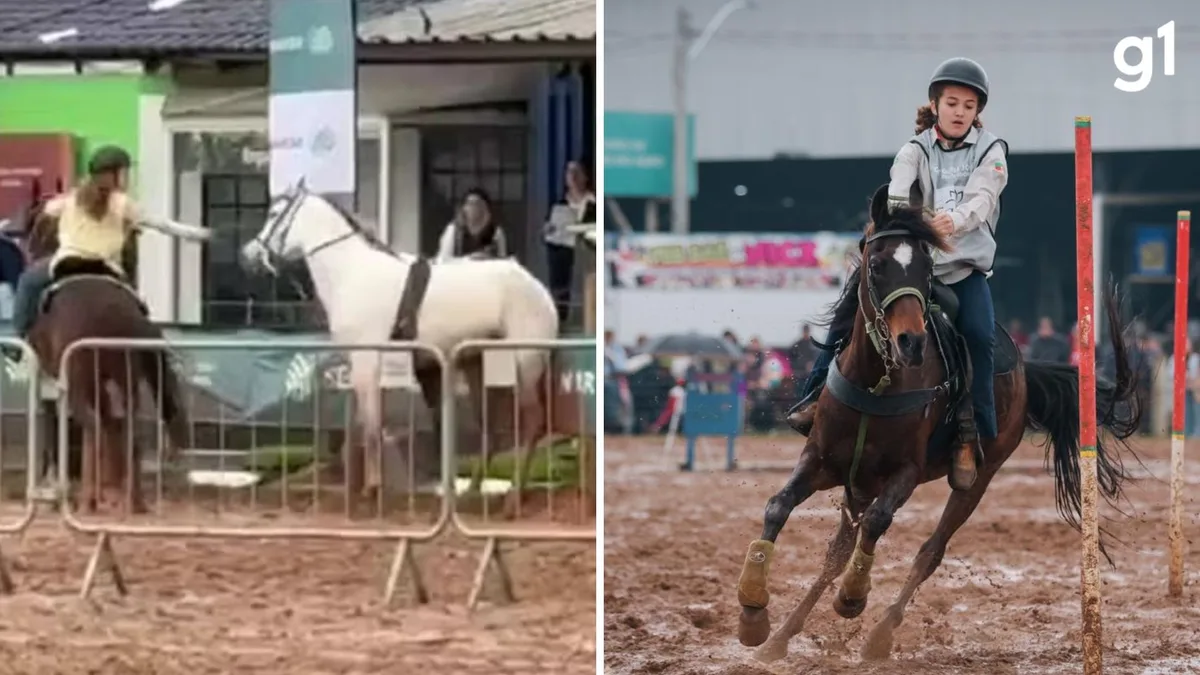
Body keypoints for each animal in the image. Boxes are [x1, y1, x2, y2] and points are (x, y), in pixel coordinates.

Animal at [22, 198, 200, 513]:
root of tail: (111, 315)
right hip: (127, 379)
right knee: (128, 431)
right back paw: (134, 501)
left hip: (82, 382)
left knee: (95, 427)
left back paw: (90, 500)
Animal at [239, 179, 562, 509]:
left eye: (274, 213)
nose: (248, 255)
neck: (352, 272)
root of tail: (539, 290)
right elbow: (369, 421)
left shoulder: (366, 362)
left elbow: (370, 425)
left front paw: (371, 490)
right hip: (477, 363)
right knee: (490, 427)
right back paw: (471, 491)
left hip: (526, 360)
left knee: (532, 421)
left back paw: (514, 497)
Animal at [734, 184, 1143, 662]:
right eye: (876, 265)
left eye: (927, 268)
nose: (910, 342)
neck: (876, 383)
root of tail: (1026, 370)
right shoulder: (821, 460)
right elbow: (778, 506)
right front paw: (753, 613)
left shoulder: (905, 473)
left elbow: (878, 524)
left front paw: (852, 598)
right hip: (858, 482)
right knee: (838, 551)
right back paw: (781, 637)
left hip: (979, 477)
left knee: (930, 551)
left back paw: (879, 634)